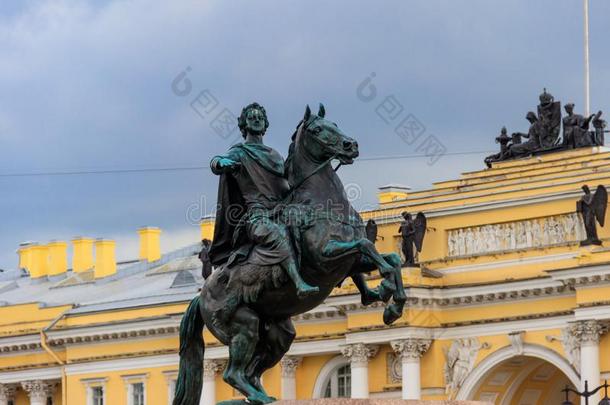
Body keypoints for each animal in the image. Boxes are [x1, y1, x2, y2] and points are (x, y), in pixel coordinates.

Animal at [173, 104, 406, 404]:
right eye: (317, 129)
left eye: (335, 123)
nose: (350, 145)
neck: (320, 203)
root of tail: (200, 296)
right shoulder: (324, 258)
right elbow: (367, 246)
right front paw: (387, 294)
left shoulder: (350, 263)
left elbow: (390, 259)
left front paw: (390, 302)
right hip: (244, 327)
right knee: (233, 374)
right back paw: (259, 397)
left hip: (277, 335)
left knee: (251, 372)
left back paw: (261, 395)